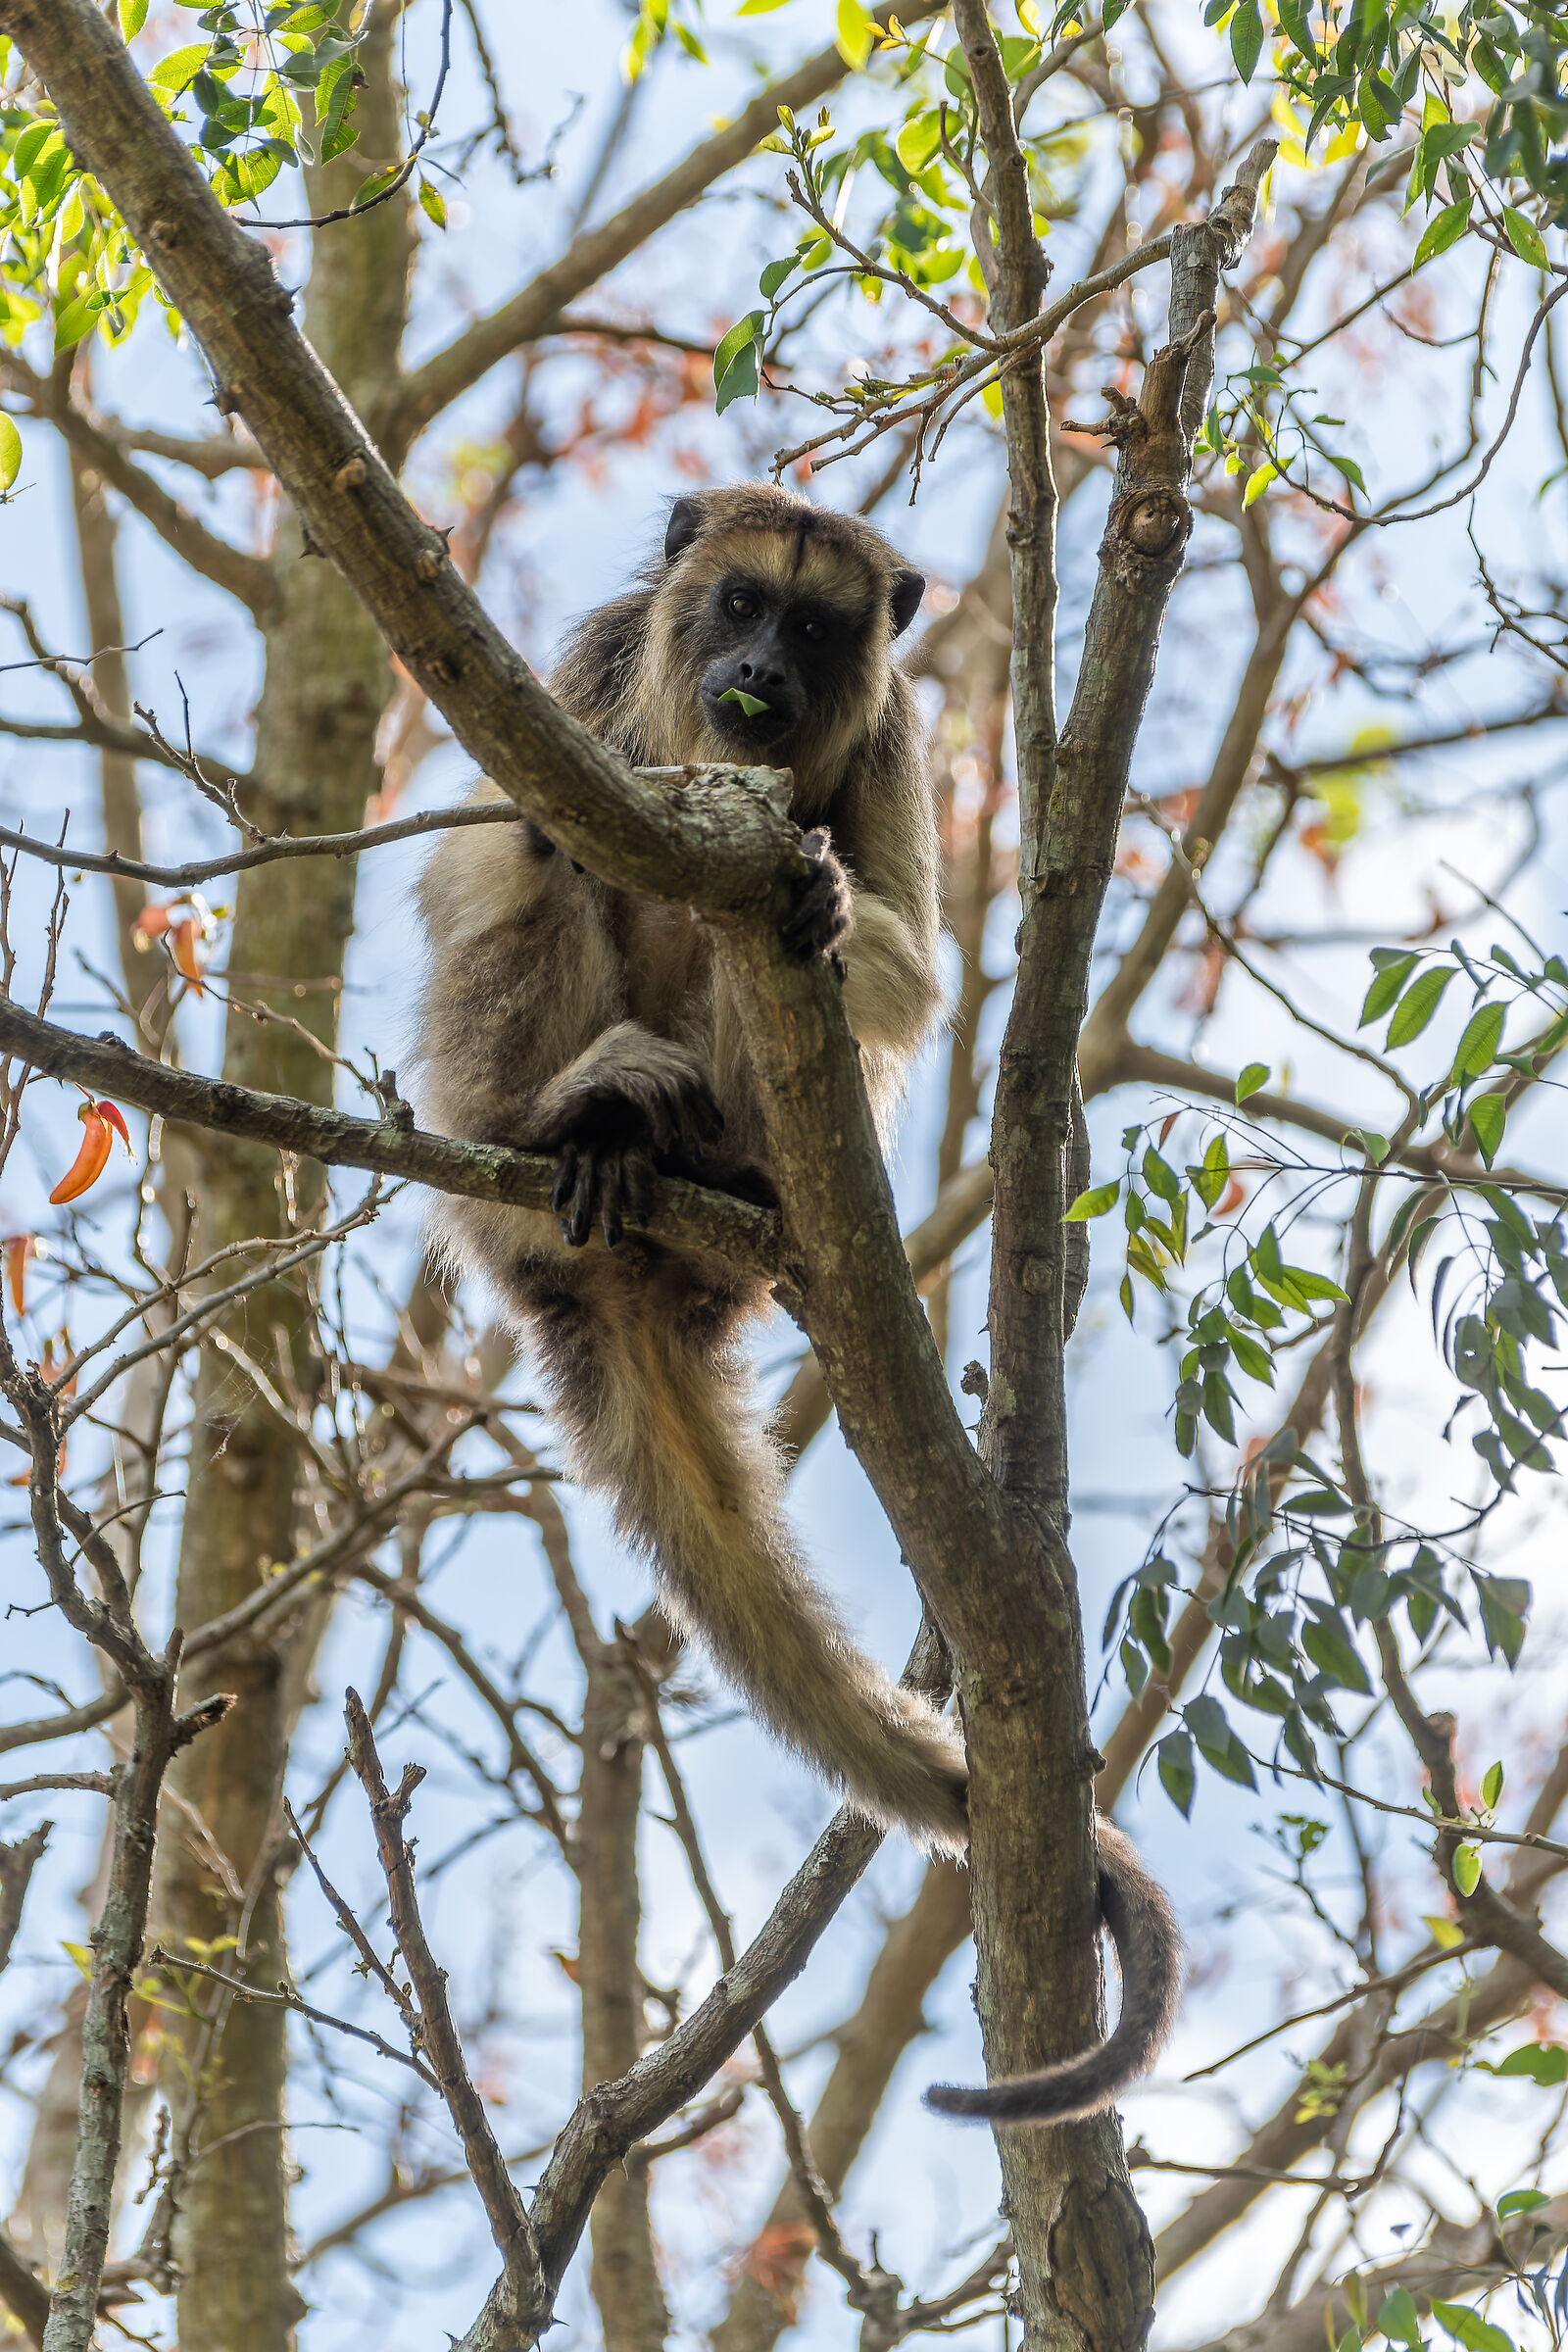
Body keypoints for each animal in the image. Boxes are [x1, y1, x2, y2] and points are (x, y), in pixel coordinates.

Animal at [410, 482, 1181, 2126]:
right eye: (738, 604)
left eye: (819, 630)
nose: (759, 672)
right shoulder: (598, 662)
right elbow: (504, 838)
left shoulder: (892, 746)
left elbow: (906, 955)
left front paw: (821, 892)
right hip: (488, 1165)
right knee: (533, 866)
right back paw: (574, 1127)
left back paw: (711, 1158)